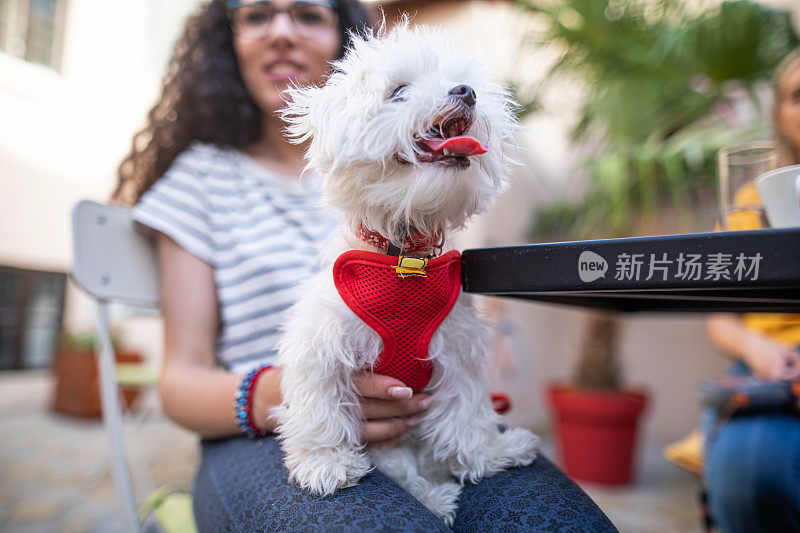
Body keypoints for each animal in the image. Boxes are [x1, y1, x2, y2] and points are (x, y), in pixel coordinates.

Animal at [272, 21, 540, 524]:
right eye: (398, 92)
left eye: (463, 81)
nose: (466, 91)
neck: (406, 258)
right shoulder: (320, 343)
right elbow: (321, 405)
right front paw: (326, 463)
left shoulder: (455, 348)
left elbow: (465, 413)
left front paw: (489, 454)